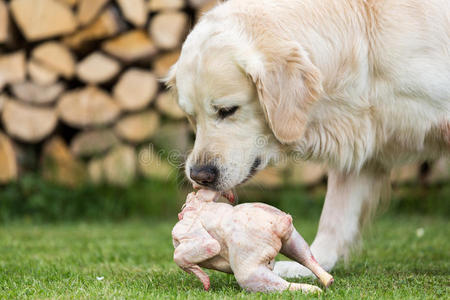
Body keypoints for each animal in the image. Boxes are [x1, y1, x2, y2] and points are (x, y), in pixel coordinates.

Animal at [166, 0, 450, 276]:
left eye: (228, 110)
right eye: (191, 116)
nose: (199, 175)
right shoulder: (362, 135)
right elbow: (335, 215)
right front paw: (313, 262)